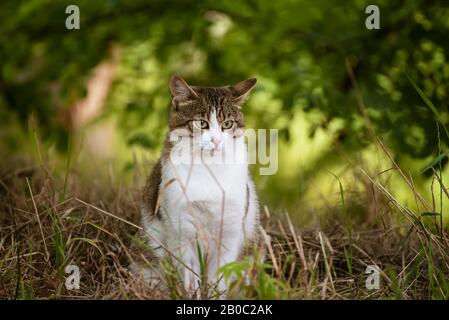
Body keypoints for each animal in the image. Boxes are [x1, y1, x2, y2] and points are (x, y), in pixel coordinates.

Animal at [130, 75, 260, 298]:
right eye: (201, 123)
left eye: (227, 124)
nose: (216, 140)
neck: (209, 168)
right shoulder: (183, 230)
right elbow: (191, 277)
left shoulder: (230, 231)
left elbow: (220, 279)